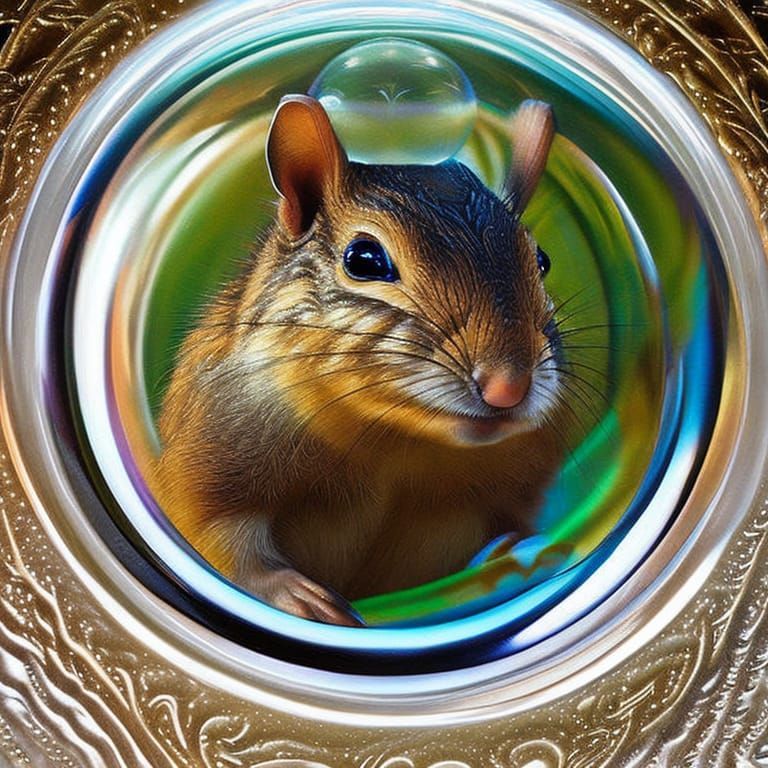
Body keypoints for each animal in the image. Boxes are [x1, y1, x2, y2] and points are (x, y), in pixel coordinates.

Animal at [151, 94, 566, 626]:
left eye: (542, 261)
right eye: (363, 259)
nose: (507, 386)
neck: (389, 438)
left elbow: (511, 527)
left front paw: (522, 550)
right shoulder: (206, 450)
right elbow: (215, 538)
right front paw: (296, 596)